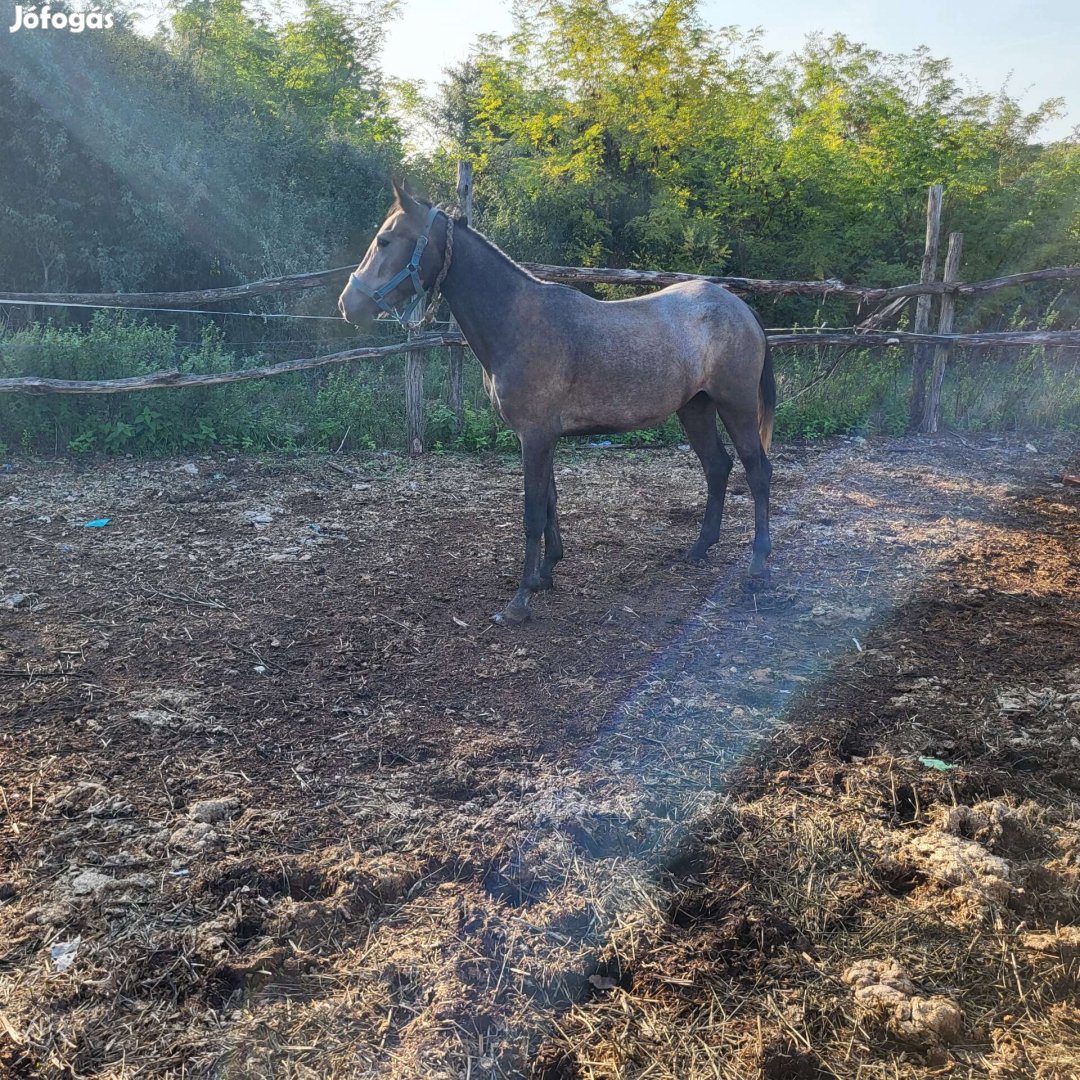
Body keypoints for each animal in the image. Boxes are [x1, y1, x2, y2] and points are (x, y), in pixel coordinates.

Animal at [341, 182, 773, 630]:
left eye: (384, 240)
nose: (347, 304)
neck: (517, 322)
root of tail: (741, 308)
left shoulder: (534, 436)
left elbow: (532, 513)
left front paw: (519, 602)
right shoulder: (540, 436)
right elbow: (549, 503)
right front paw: (545, 574)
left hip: (736, 406)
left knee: (757, 472)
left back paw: (758, 565)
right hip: (695, 408)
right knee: (717, 467)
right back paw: (699, 549)